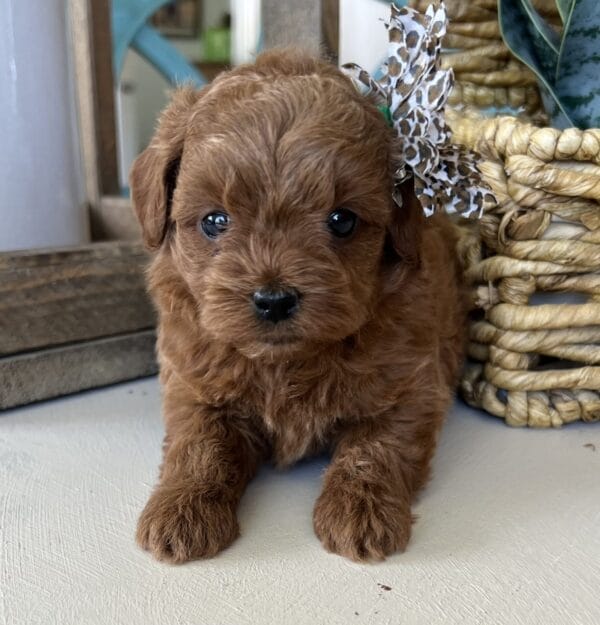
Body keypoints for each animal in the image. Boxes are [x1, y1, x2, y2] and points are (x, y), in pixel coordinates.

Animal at [130, 48, 468, 564]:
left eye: (342, 220)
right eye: (214, 221)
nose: (273, 300)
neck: (284, 363)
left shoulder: (412, 385)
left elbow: (377, 446)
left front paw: (360, 510)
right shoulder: (193, 384)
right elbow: (199, 445)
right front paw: (181, 509)